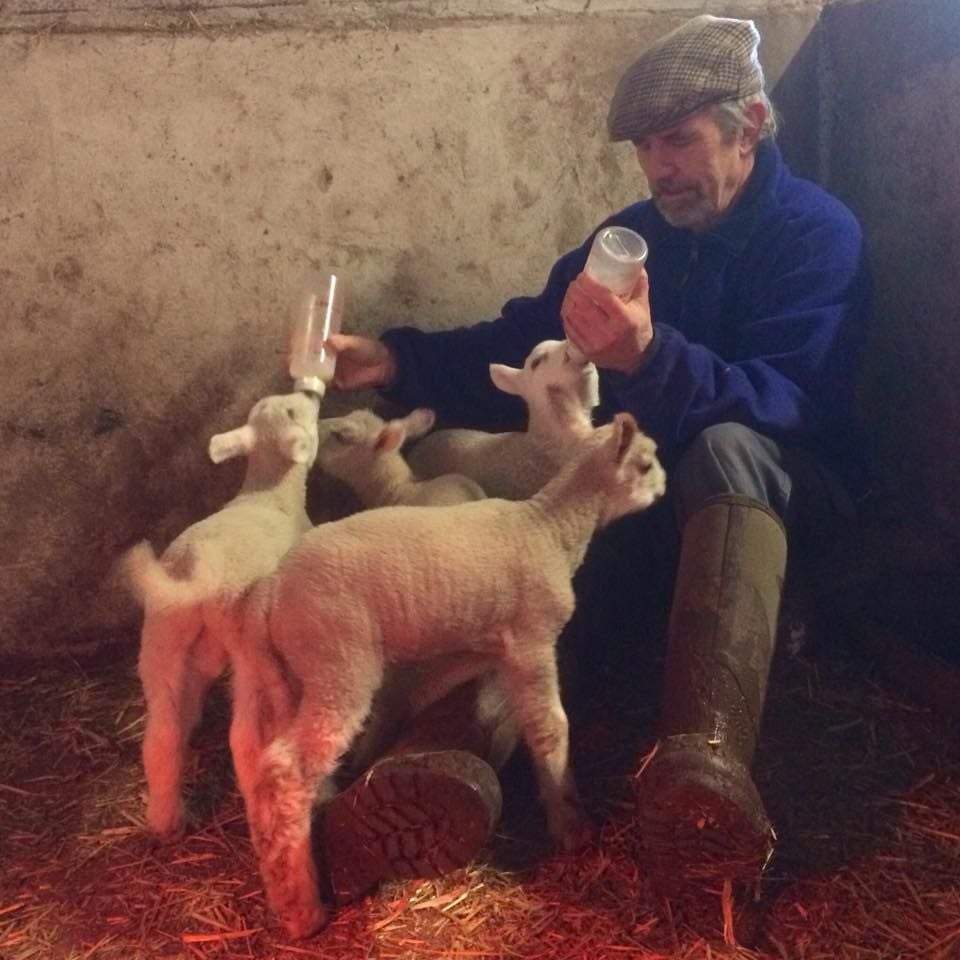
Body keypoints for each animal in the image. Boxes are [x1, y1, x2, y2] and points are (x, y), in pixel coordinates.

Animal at [121, 390, 318, 840]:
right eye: (294, 412)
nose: (310, 392)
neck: (269, 492)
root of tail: (198, 564)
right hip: (248, 649)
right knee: (243, 740)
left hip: (161, 636)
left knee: (161, 736)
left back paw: (166, 819)